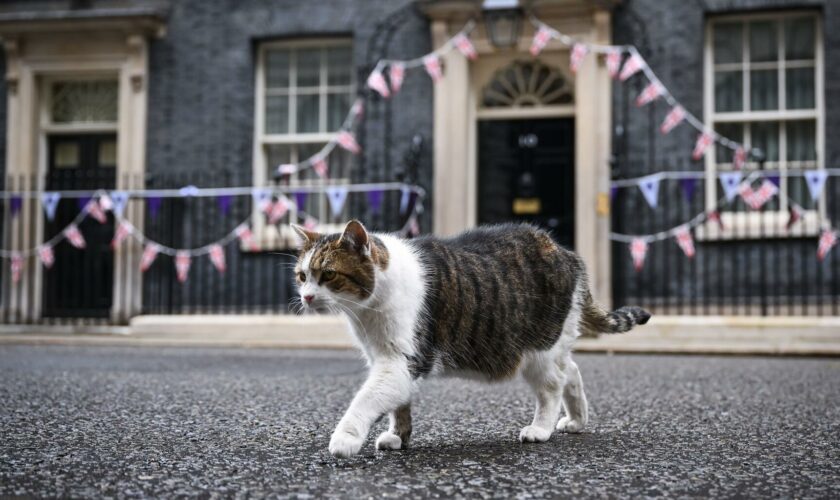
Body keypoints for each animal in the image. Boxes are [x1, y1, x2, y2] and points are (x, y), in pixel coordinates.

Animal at [292, 222, 652, 458]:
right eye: (302, 276)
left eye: (328, 275)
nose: (306, 297)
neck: (368, 312)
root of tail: (565, 252)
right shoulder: (389, 360)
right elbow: (398, 406)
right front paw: (398, 437)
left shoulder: (402, 361)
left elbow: (366, 400)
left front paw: (345, 438)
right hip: (554, 344)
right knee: (571, 371)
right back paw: (577, 419)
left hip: (540, 350)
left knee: (552, 387)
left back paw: (541, 429)